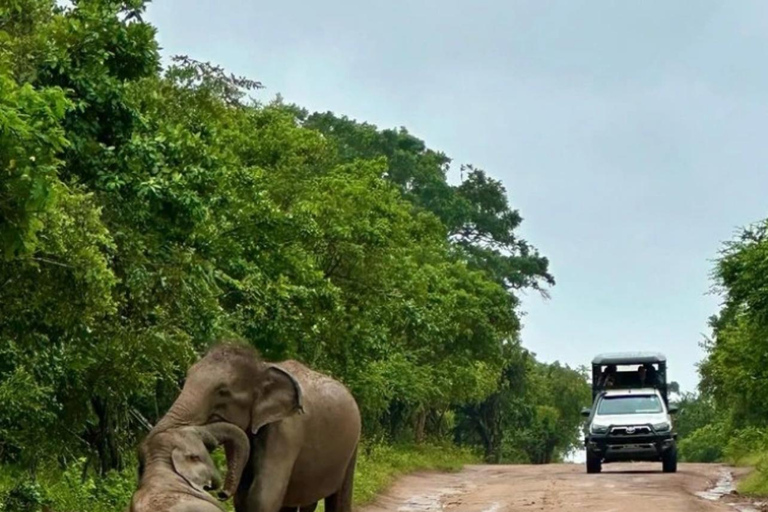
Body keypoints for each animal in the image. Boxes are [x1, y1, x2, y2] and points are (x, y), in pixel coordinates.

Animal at [143, 342, 361, 512]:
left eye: (223, 392)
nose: (221, 492)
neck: (262, 366)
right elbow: (243, 496)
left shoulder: (286, 434)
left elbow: (262, 495)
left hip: (352, 447)